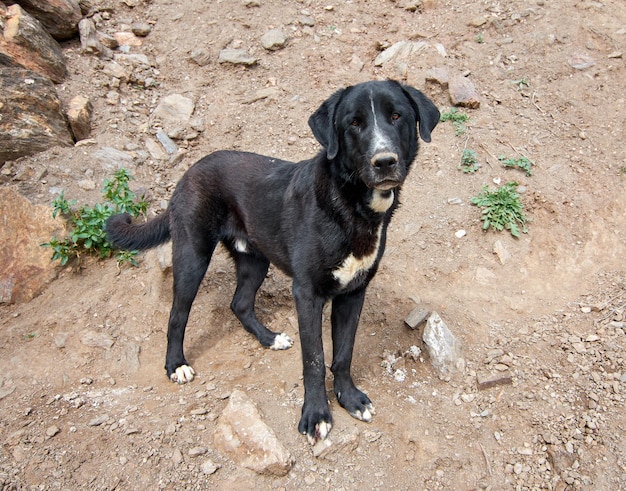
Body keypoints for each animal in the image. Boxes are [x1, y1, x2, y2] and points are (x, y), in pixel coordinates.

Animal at [106, 80, 438, 442]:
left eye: (397, 116)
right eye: (354, 123)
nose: (384, 161)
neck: (351, 203)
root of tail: (190, 170)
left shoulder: (353, 292)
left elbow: (344, 353)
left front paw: (349, 398)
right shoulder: (307, 294)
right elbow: (314, 359)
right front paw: (316, 414)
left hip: (254, 259)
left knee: (239, 303)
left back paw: (268, 338)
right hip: (192, 255)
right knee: (177, 315)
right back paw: (175, 364)